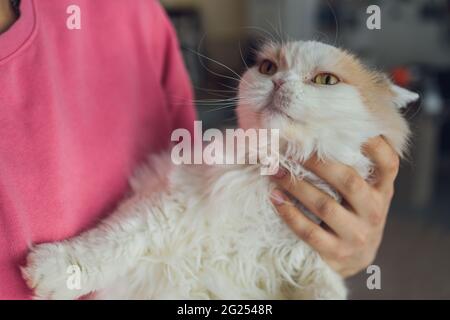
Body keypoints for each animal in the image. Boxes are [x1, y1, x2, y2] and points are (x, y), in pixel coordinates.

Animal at [21, 40, 418, 300]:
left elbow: (325, 289)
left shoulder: (309, 260)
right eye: (268, 68)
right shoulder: (167, 205)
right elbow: (109, 244)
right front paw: (53, 270)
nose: (278, 82)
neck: (273, 168)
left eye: (325, 81)